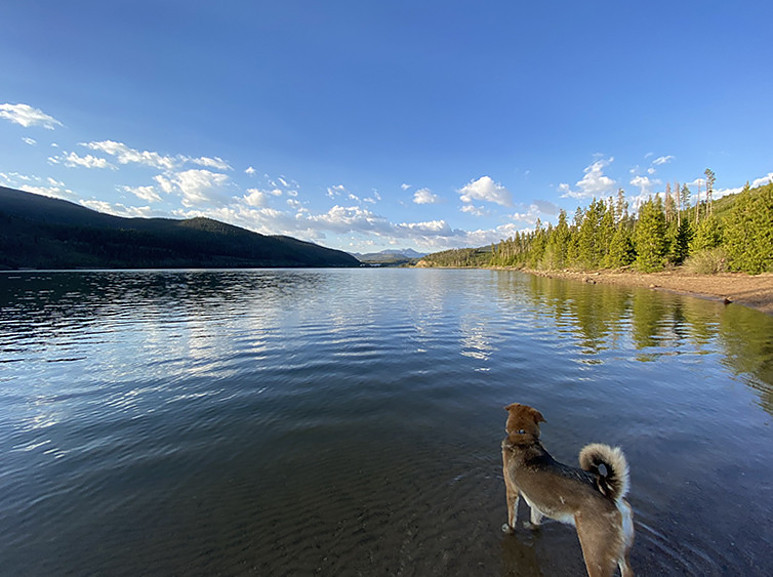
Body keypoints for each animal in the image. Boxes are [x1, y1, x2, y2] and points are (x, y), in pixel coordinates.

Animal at [500, 402, 632, 576]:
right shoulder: (538, 503)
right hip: (622, 553)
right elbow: (535, 519)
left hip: (595, 555)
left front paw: (509, 529)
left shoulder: (512, 491)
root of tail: (610, 495)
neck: (522, 436)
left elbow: (511, 517)